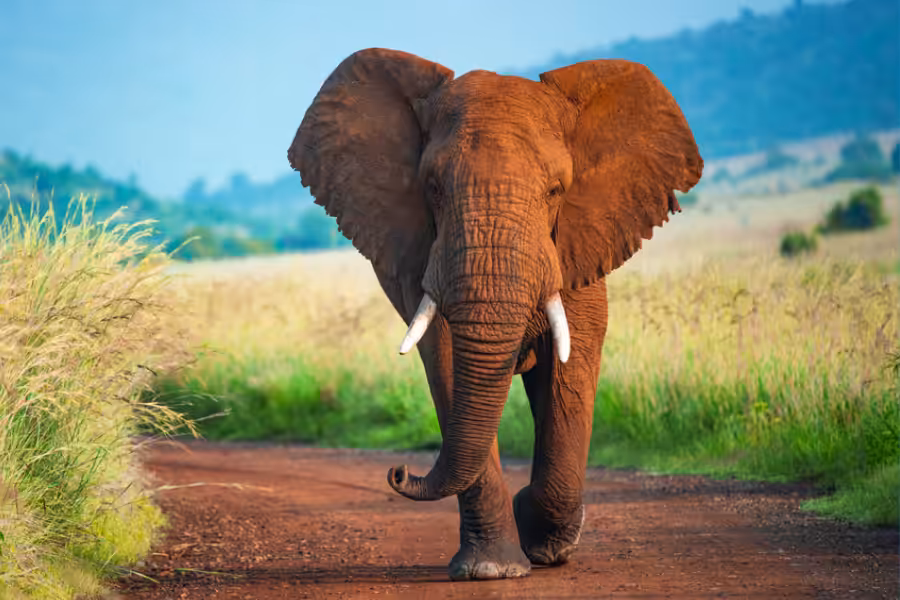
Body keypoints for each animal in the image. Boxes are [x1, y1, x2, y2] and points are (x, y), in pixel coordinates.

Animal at [287, 47, 702, 581]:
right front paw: (491, 570)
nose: (398, 471)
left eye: (556, 190)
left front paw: (543, 543)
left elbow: (570, 366)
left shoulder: (577, 243)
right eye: (432, 187)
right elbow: (446, 359)